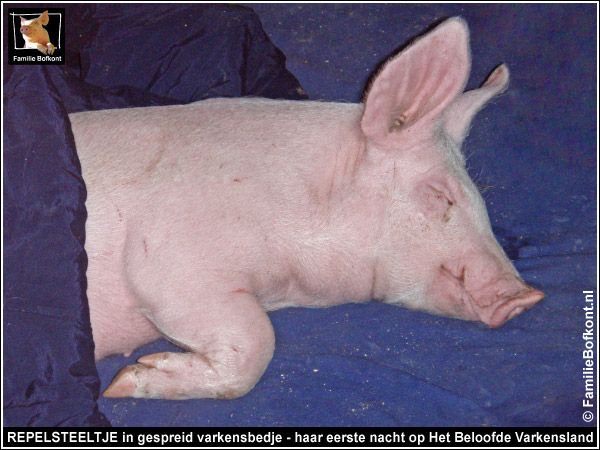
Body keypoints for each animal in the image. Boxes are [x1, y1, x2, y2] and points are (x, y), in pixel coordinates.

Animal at [69, 17, 544, 400]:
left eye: (480, 198)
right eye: (441, 194)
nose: (528, 296)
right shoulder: (168, 257)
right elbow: (257, 340)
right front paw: (122, 384)